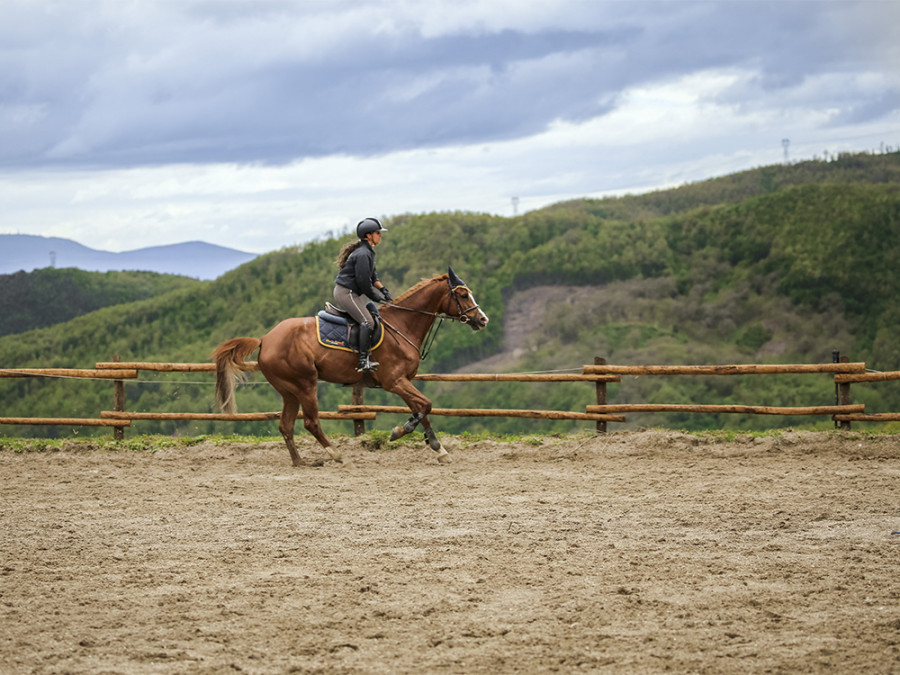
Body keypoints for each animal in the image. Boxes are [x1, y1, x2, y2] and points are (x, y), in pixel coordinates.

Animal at [212, 266, 488, 468]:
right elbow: (426, 406)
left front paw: (439, 449)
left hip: (289, 390)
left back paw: (300, 462)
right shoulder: (395, 382)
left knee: (286, 425)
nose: (483, 319)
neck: (403, 325)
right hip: (305, 384)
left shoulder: (405, 382)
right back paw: (336, 455)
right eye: (463, 295)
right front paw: (400, 431)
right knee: (310, 422)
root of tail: (265, 339)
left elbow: (423, 410)